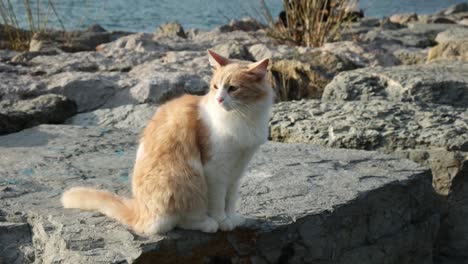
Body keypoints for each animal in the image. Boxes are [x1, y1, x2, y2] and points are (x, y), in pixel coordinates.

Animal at [62, 50, 274, 235]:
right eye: (215, 87)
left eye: (233, 88)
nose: (219, 99)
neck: (244, 116)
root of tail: (139, 212)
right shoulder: (215, 170)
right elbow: (218, 202)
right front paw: (223, 221)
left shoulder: (237, 170)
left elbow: (230, 199)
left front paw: (233, 218)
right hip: (187, 177)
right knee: (182, 220)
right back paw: (208, 223)